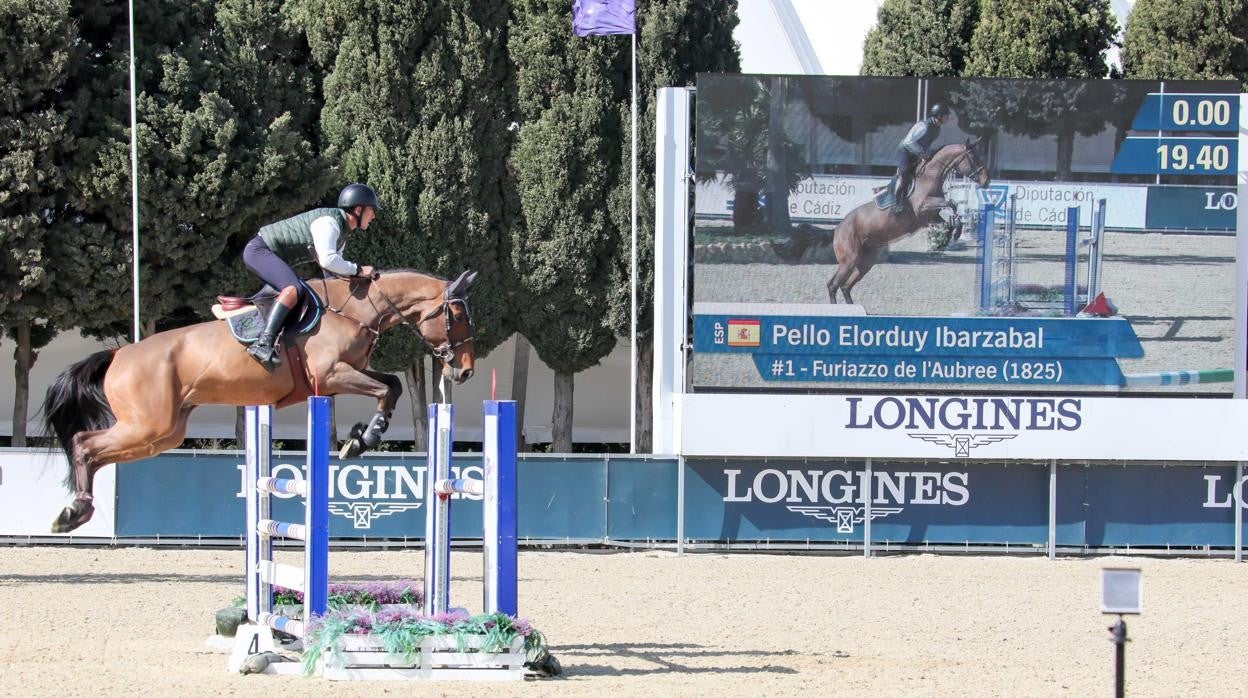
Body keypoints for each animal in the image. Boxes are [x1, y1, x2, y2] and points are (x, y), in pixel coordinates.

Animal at [40, 270, 476, 531]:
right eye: (457, 315)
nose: (466, 371)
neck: (354, 308)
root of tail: (119, 354)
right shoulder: (331, 374)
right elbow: (388, 388)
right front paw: (364, 438)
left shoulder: (347, 374)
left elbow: (391, 385)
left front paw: (359, 437)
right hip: (147, 425)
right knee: (83, 444)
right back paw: (74, 511)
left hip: (162, 433)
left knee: (96, 452)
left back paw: (76, 511)